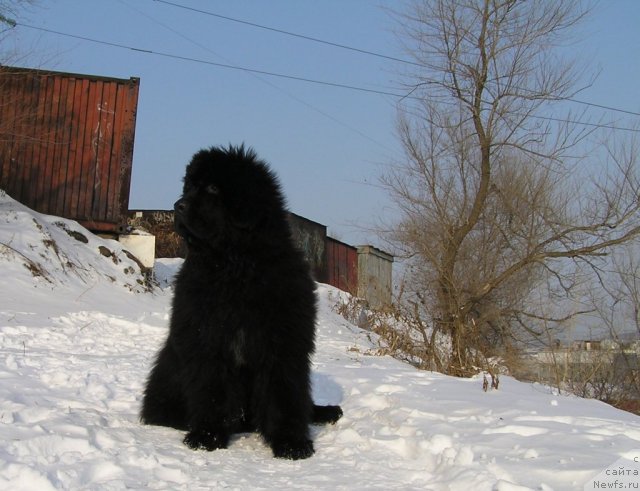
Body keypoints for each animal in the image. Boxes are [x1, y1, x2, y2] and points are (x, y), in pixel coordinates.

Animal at [142, 144, 342, 460]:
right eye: (189, 187)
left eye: (213, 188)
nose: (178, 205)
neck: (236, 267)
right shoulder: (207, 341)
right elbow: (210, 391)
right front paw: (207, 436)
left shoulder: (283, 343)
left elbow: (283, 395)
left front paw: (291, 443)